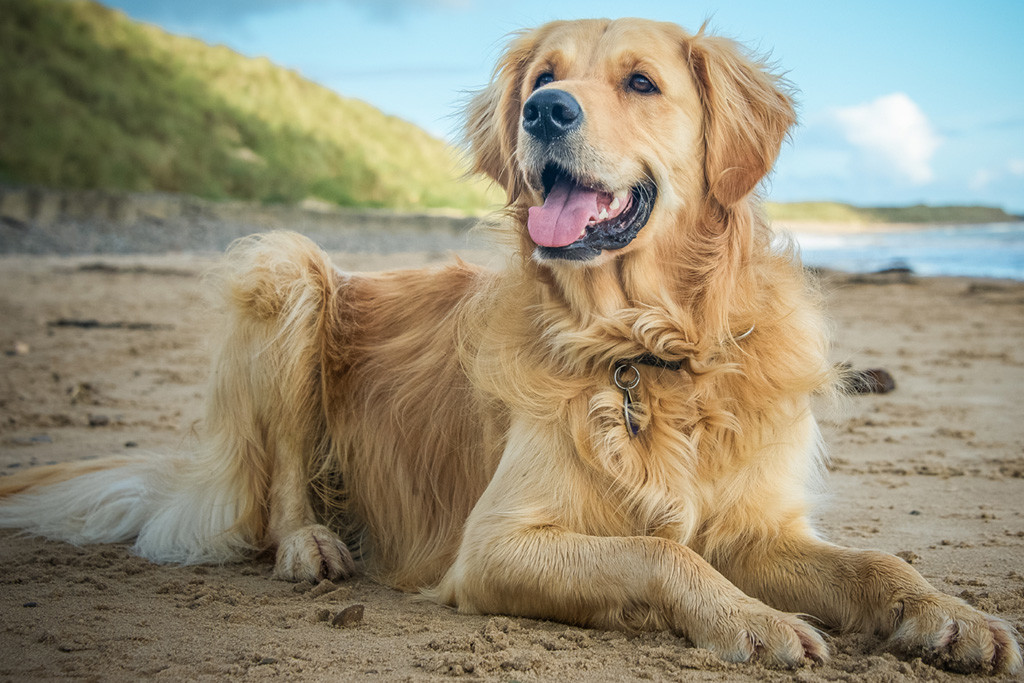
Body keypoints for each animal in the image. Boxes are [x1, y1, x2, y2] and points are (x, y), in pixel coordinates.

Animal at [2, 18, 1024, 675]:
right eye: (543, 79)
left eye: (641, 82)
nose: (547, 113)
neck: (644, 349)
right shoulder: (492, 546)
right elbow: (658, 555)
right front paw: (753, 620)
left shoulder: (754, 524)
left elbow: (876, 563)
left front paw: (952, 617)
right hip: (289, 269)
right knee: (286, 475)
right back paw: (310, 544)